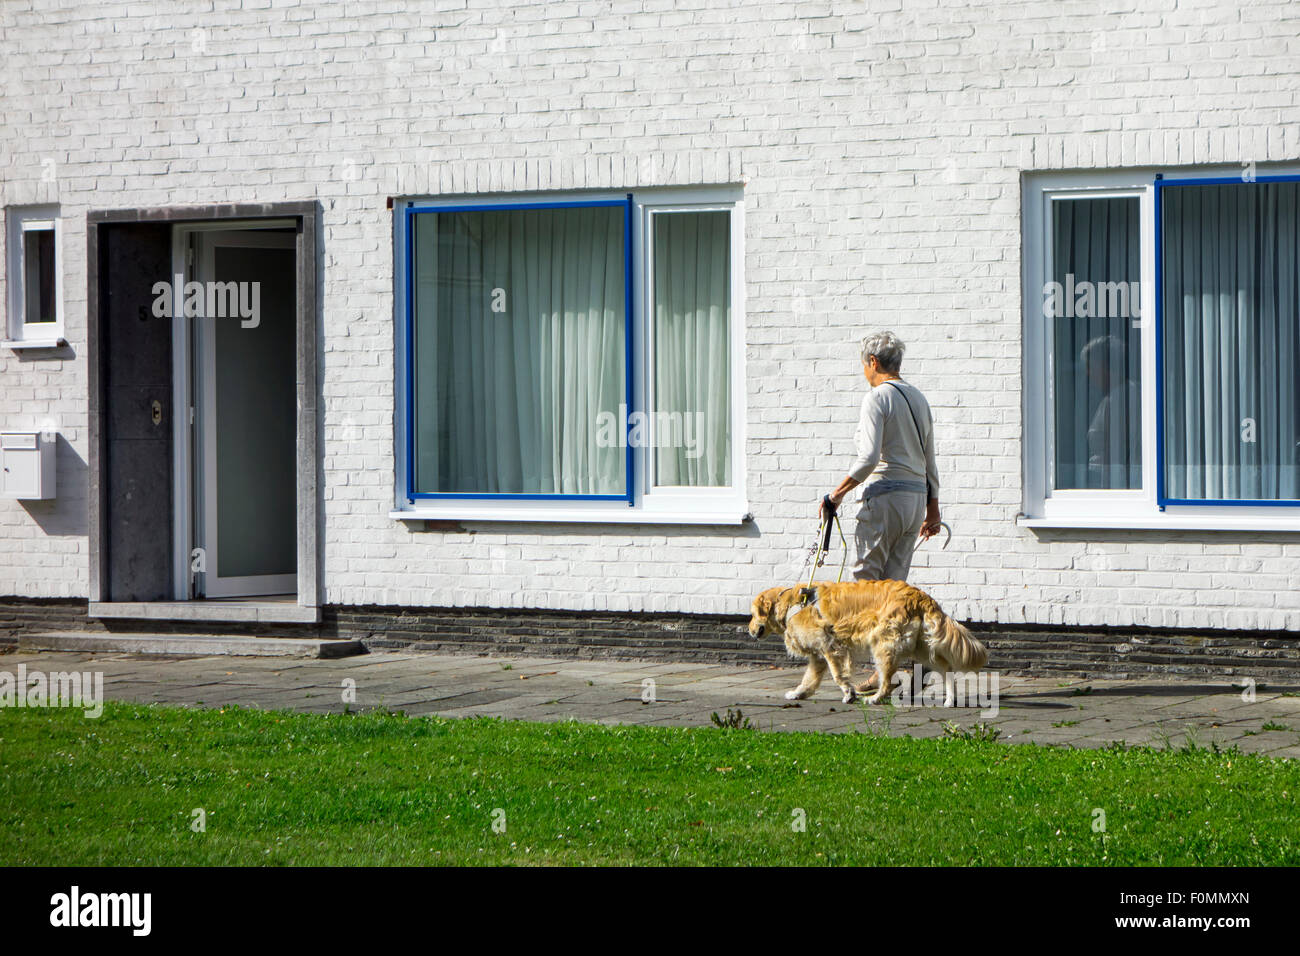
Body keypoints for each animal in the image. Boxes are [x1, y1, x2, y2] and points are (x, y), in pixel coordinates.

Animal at [754, 580, 982, 707]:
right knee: (945, 668)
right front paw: (798, 693)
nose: (750, 630)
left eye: (753, 614)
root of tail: (920, 596)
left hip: (884, 646)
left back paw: (875, 699)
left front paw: (849, 693)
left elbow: (837, 675)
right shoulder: (818, 656)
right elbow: (809, 679)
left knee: (887, 681)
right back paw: (950, 699)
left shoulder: (830, 647)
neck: (793, 605)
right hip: (921, 647)